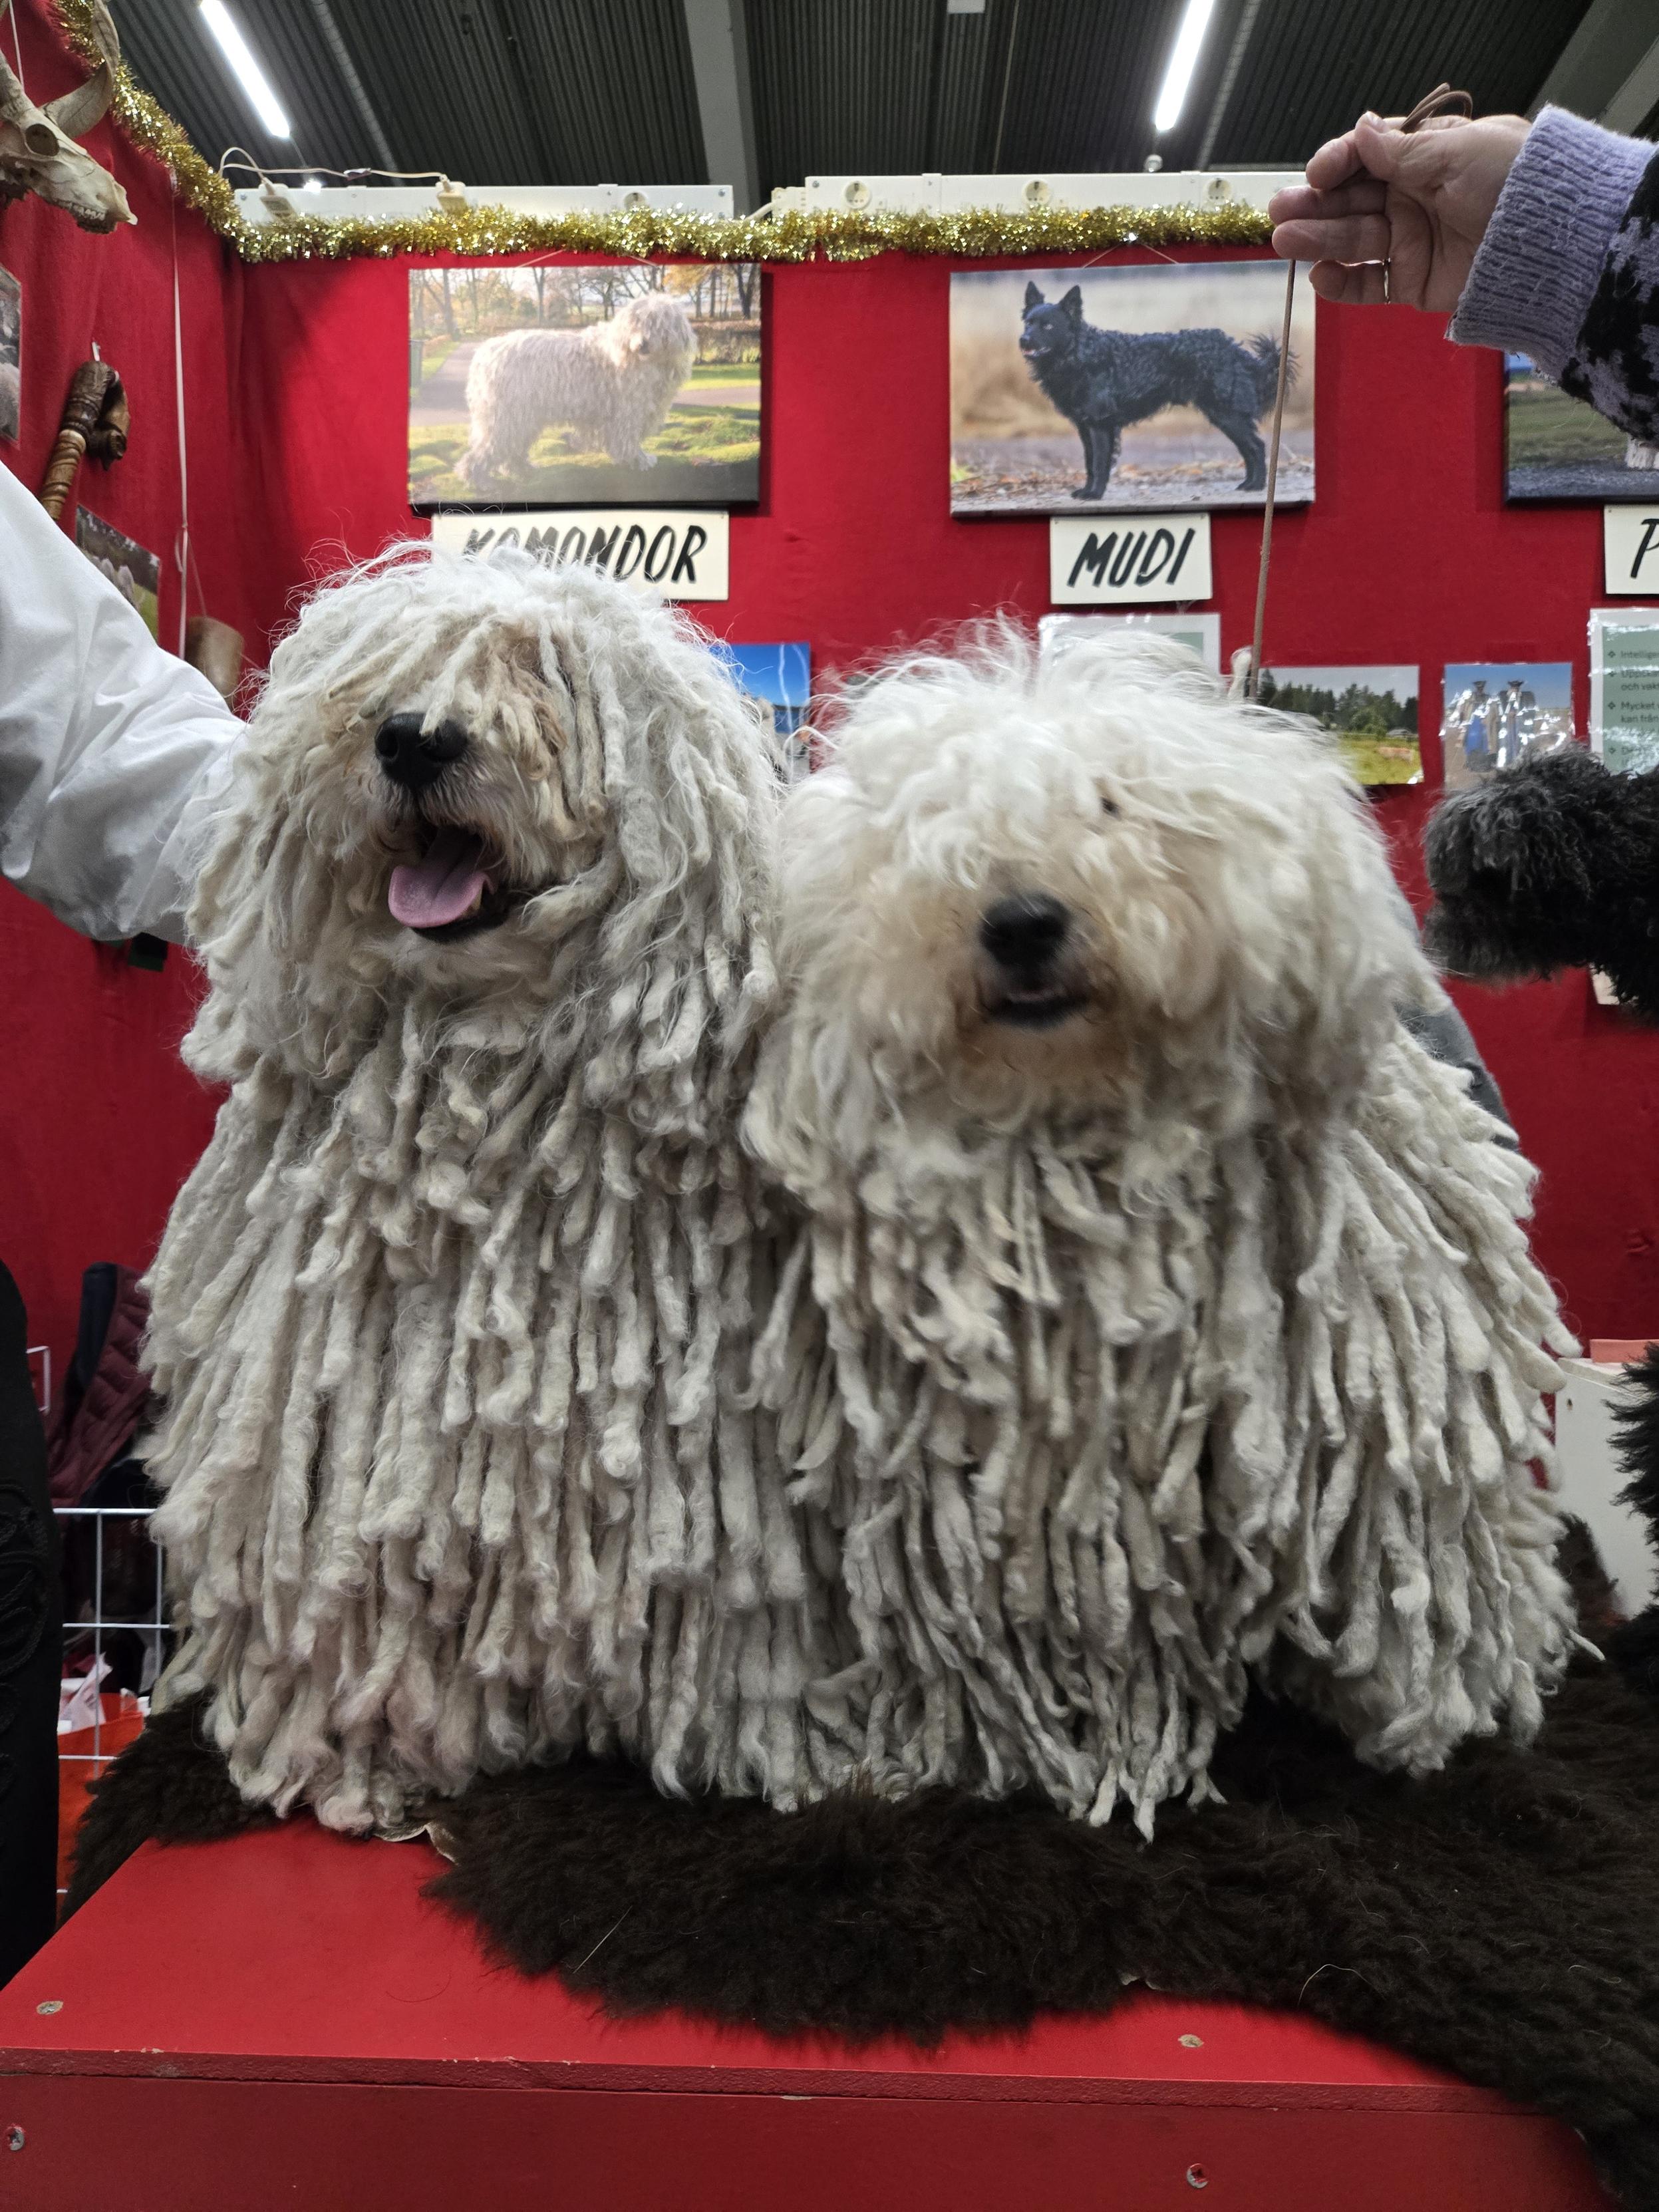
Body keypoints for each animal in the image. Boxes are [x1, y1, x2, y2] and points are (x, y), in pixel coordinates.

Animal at [459, 292, 696, 490]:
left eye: (657, 325)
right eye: (635, 324)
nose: (642, 344)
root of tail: (485, 352)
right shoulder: (627, 411)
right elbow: (628, 439)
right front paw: (638, 460)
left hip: (523, 417)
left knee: (513, 448)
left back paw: (521, 469)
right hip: (506, 416)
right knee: (487, 449)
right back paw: (480, 480)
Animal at [745, 626, 1574, 1829]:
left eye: (1108, 803)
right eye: (938, 827)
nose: (1020, 920)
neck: (1092, 1151)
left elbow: (1413, 1555)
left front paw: (1430, 1708)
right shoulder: (1027, 1491)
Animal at [1019, 282, 1283, 499]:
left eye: (1048, 326)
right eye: (1028, 323)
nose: (1024, 340)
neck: (1079, 354)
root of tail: (1235, 349)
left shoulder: (1100, 424)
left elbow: (1099, 463)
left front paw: (1094, 495)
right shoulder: (1085, 426)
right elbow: (1089, 463)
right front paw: (1087, 491)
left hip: (1228, 414)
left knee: (1256, 447)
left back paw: (1256, 486)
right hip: (1223, 416)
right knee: (1248, 449)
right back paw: (1248, 484)